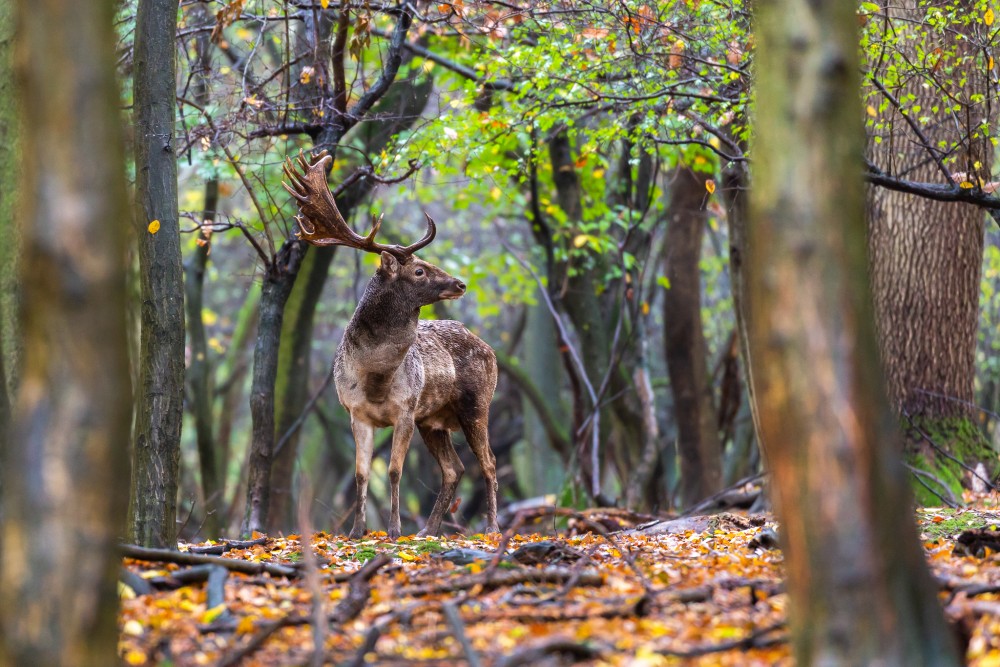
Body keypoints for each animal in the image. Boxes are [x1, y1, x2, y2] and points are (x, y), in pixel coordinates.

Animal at [282, 151, 500, 536]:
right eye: (419, 270)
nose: (460, 284)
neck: (376, 378)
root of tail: (488, 348)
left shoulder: (406, 410)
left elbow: (395, 470)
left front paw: (395, 529)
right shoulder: (356, 413)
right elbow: (360, 473)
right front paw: (357, 531)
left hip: (476, 403)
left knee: (488, 463)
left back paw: (490, 529)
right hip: (434, 420)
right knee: (455, 468)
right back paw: (429, 530)